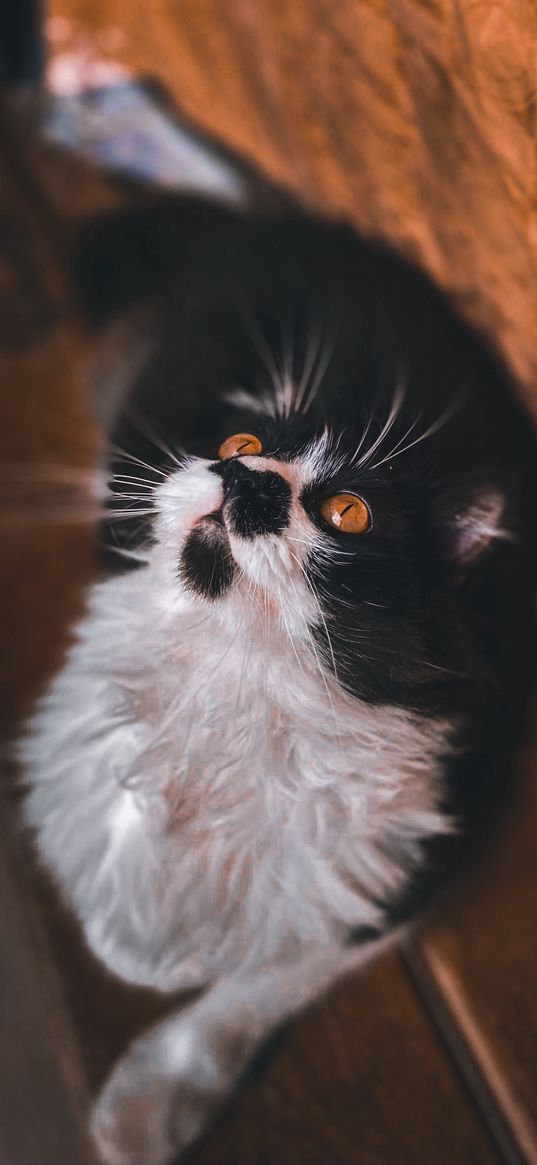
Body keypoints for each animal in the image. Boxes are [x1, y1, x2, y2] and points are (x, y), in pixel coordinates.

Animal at [18, 184, 533, 1165]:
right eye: (238, 439)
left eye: (346, 511)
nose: (244, 477)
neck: (238, 684)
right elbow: (115, 838)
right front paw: (137, 938)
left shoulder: (415, 850)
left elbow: (254, 986)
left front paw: (150, 1104)